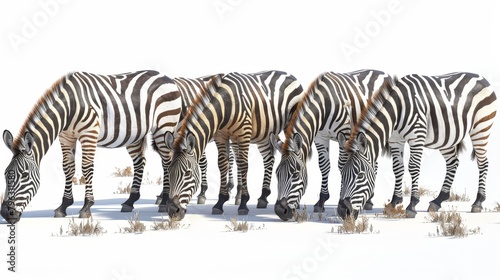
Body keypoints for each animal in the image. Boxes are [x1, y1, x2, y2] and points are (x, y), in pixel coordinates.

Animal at [1, 71, 182, 224]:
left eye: (24, 175)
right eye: (5, 173)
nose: (5, 213)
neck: (69, 106)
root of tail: (166, 76)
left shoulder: (89, 134)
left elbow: (86, 167)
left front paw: (86, 206)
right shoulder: (66, 137)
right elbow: (68, 168)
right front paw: (64, 205)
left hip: (164, 126)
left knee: (166, 162)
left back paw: (164, 201)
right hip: (135, 133)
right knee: (140, 162)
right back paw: (130, 201)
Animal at [166, 70, 302, 219]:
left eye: (188, 174)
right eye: (169, 171)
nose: (173, 211)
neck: (225, 105)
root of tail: (288, 74)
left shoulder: (244, 134)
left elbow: (243, 164)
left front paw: (243, 203)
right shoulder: (220, 135)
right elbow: (222, 164)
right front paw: (220, 202)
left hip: (289, 122)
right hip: (264, 133)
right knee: (269, 159)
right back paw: (263, 197)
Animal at [270, 69, 390, 221]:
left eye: (296, 175)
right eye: (277, 173)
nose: (280, 211)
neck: (324, 103)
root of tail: (383, 72)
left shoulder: (344, 133)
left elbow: (342, 165)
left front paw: (341, 199)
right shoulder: (320, 137)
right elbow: (324, 166)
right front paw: (321, 200)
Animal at [338, 71, 498, 220]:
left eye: (360, 175)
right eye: (342, 174)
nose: (342, 211)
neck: (398, 109)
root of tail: (481, 77)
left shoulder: (417, 137)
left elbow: (413, 167)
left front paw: (412, 205)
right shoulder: (395, 140)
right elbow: (397, 168)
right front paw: (394, 203)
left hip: (481, 128)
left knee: (483, 163)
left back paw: (478, 202)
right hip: (446, 136)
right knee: (453, 162)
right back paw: (437, 201)